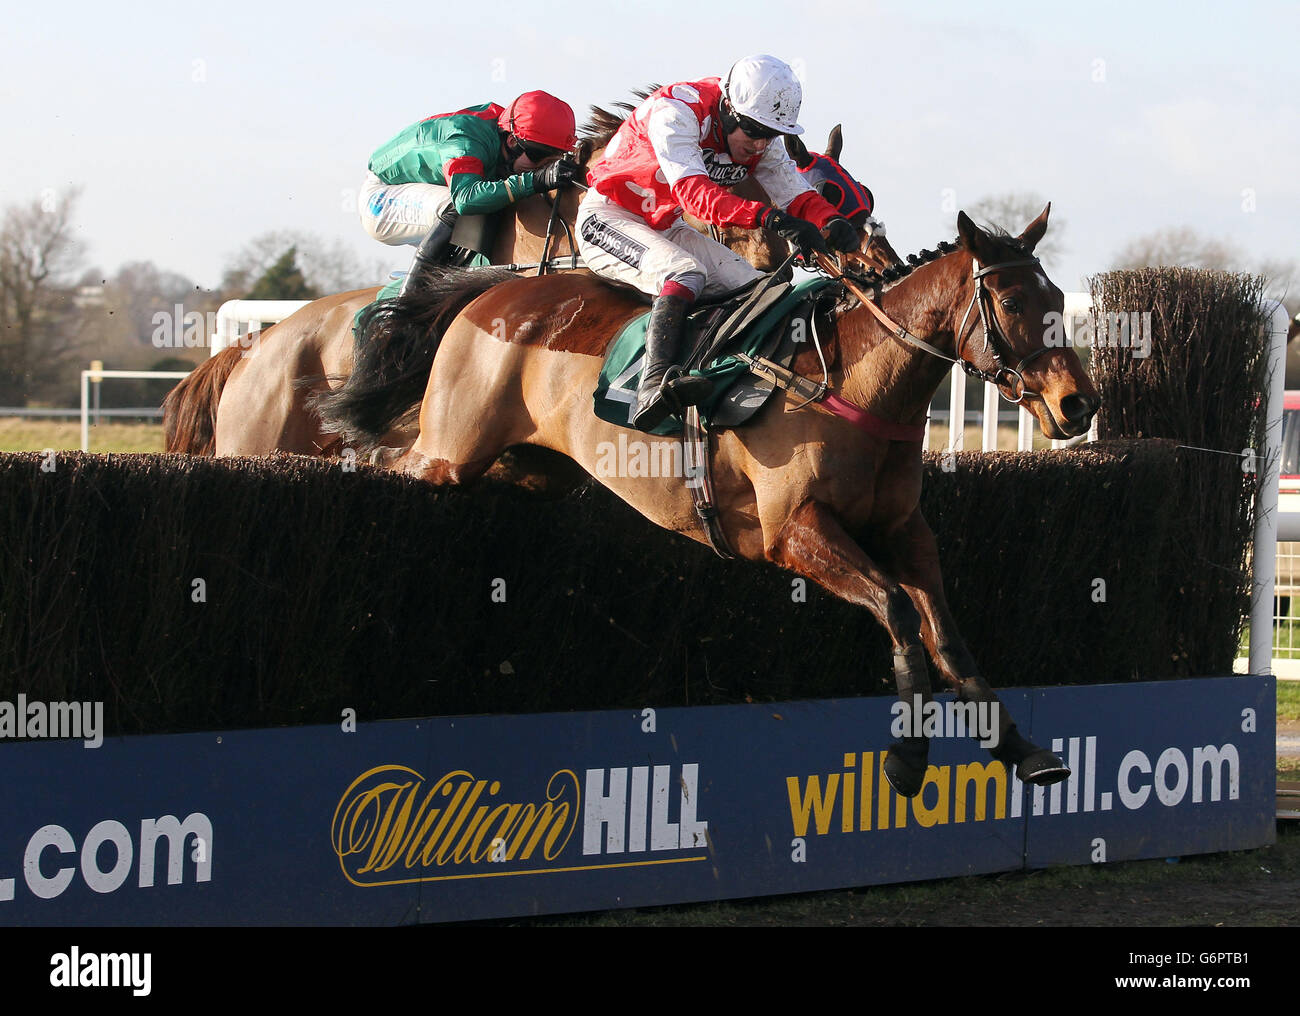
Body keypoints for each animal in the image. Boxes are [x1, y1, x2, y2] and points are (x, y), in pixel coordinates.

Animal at [314, 205, 1097, 795]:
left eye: (1059, 302)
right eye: (1012, 302)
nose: (1078, 404)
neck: (854, 382)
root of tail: (491, 292)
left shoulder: (906, 530)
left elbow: (947, 634)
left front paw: (1022, 749)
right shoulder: (794, 531)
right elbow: (899, 611)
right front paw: (907, 759)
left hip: (532, 469)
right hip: (447, 453)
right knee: (389, 459)